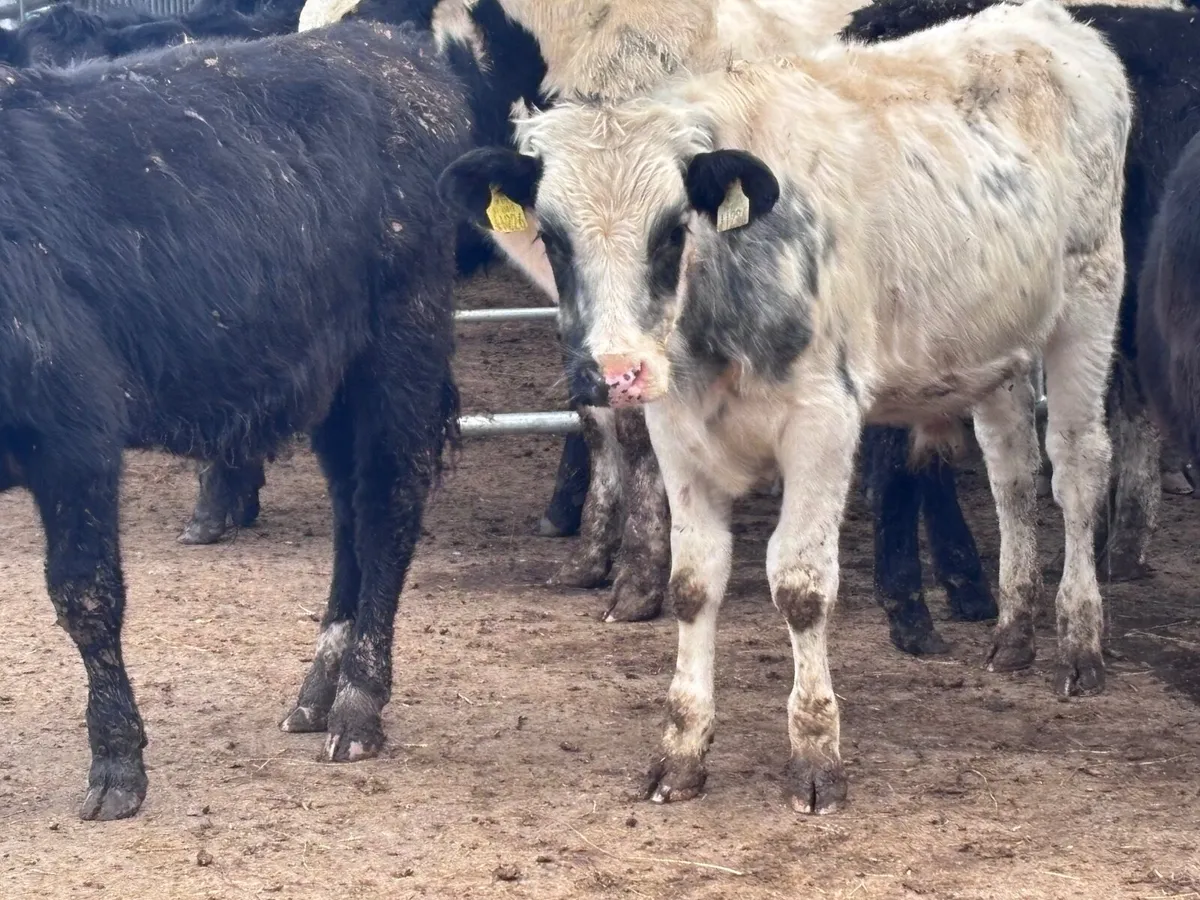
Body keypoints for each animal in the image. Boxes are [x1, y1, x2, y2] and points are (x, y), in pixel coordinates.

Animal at [0, 20, 472, 821]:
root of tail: (383, 46)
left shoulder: (74, 435)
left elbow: (86, 595)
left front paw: (117, 764)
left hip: (399, 350)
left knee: (389, 505)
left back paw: (357, 705)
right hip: (331, 381)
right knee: (350, 512)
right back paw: (316, 690)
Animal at [439, 0, 1130, 810]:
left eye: (672, 230)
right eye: (552, 236)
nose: (616, 372)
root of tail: (1049, 24)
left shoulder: (824, 424)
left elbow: (800, 586)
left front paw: (816, 757)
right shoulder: (678, 431)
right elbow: (693, 584)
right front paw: (681, 750)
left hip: (1089, 301)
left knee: (1076, 469)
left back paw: (1079, 644)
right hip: (997, 351)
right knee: (1013, 476)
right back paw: (1014, 632)